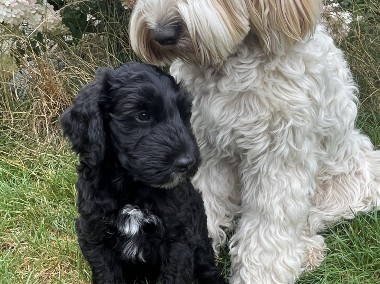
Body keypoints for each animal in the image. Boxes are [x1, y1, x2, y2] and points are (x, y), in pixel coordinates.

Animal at [59, 62, 226, 284]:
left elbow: (174, 275)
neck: (132, 187)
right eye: (143, 116)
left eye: (184, 114)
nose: (187, 162)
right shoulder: (94, 234)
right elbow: (107, 274)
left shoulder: (178, 238)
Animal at [128, 1, 380, 282]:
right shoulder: (205, 147)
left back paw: (307, 252)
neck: (233, 64)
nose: (162, 34)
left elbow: (268, 230)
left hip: (354, 184)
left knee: (306, 222)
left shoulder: (277, 160)